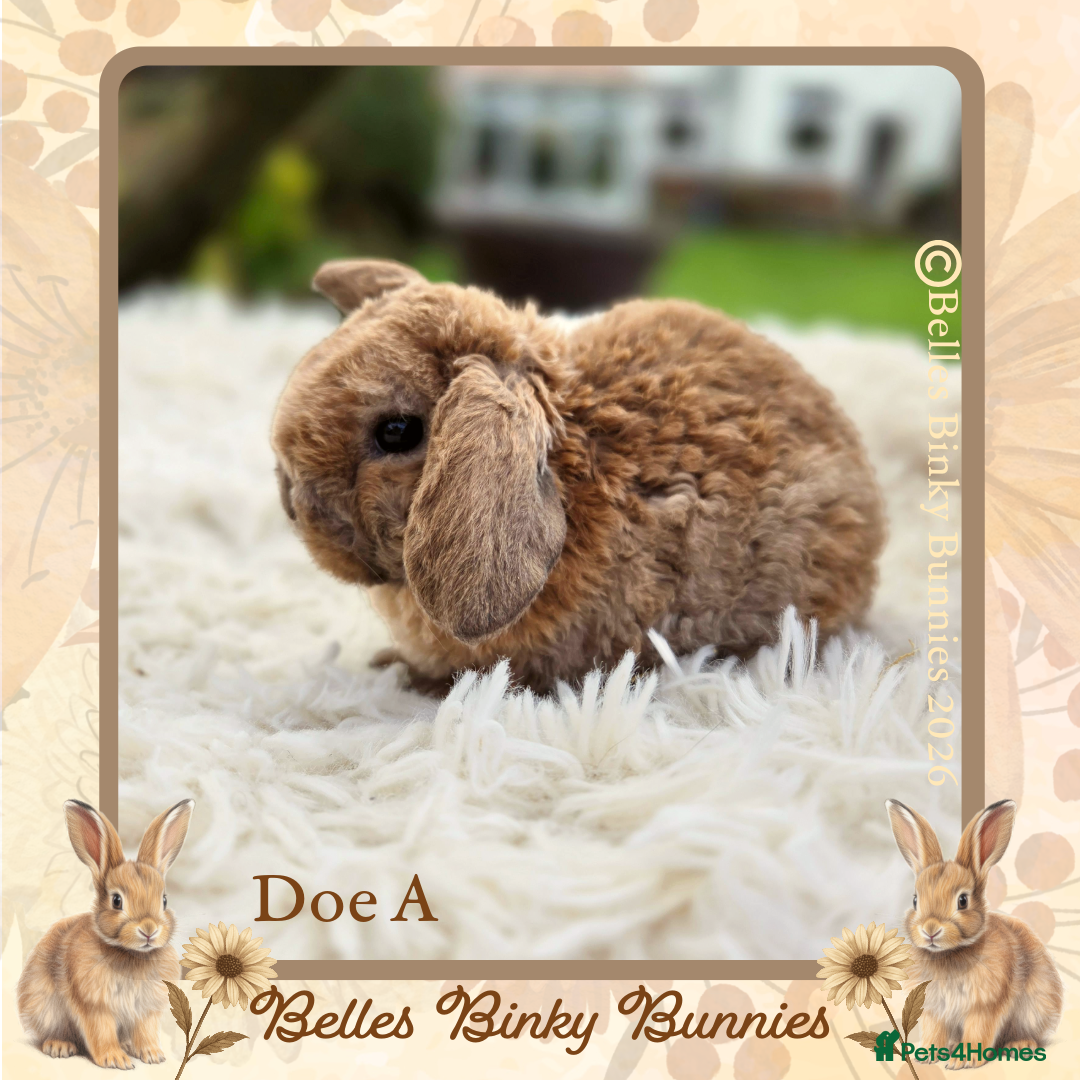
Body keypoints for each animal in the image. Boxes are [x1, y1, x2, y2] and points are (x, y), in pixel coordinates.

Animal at [17, 799, 195, 1069]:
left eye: (164, 900)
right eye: (117, 900)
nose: (149, 930)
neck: (131, 954)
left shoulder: (146, 1010)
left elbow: (145, 1031)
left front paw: (153, 1055)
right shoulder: (95, 1005)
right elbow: (101, 1031)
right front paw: (116, 1060)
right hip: (45, 1008)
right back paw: (59, 1046)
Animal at [885, 798, 1063, 1067]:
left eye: (962, 901)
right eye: (915, 900)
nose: (930, 930)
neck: (949, 954)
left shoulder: (984, 1005)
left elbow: (978, 1031)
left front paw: (963, 1061)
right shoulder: (935, 1009)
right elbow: (934, 1031)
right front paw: (926, 1055)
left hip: (1034, 1009)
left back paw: (1019, 1045)